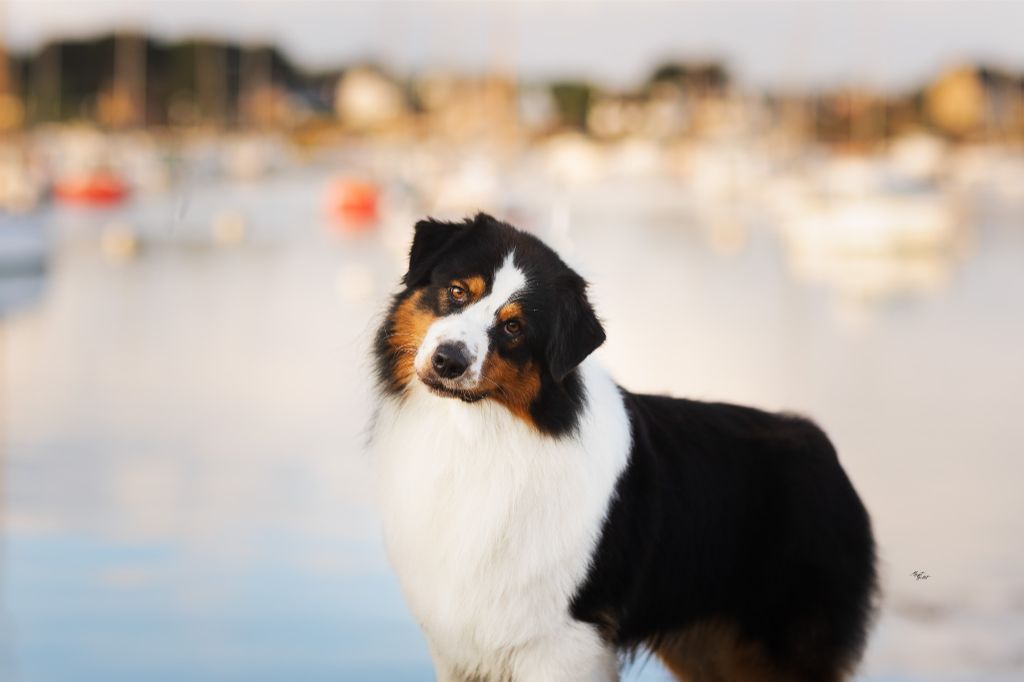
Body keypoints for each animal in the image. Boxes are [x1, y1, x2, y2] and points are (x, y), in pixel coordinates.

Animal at [372, 214, 876, 679]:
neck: (480, 435)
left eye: (514, 328)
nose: (449, 361)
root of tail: (819, 442)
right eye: (457, 291)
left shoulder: (562, 641)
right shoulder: (460, 644)